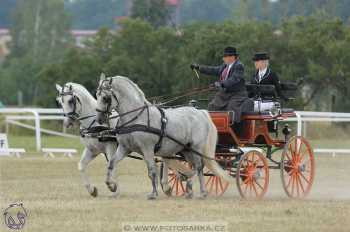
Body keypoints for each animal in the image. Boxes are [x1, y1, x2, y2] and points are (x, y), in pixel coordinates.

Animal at [94, 75, 234, 199]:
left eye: (106, 98)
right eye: (97, 95)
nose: (99, 119)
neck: (136, 117)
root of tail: (200, 112)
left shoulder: (147, 149)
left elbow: (152, 171)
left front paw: (153, 193)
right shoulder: (125, 148)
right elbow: (111, 163)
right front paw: (111, 186)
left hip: (196, 148)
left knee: (199, 167)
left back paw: (197, 190)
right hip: (186, 149)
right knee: (195, 167)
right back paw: (193, 190)